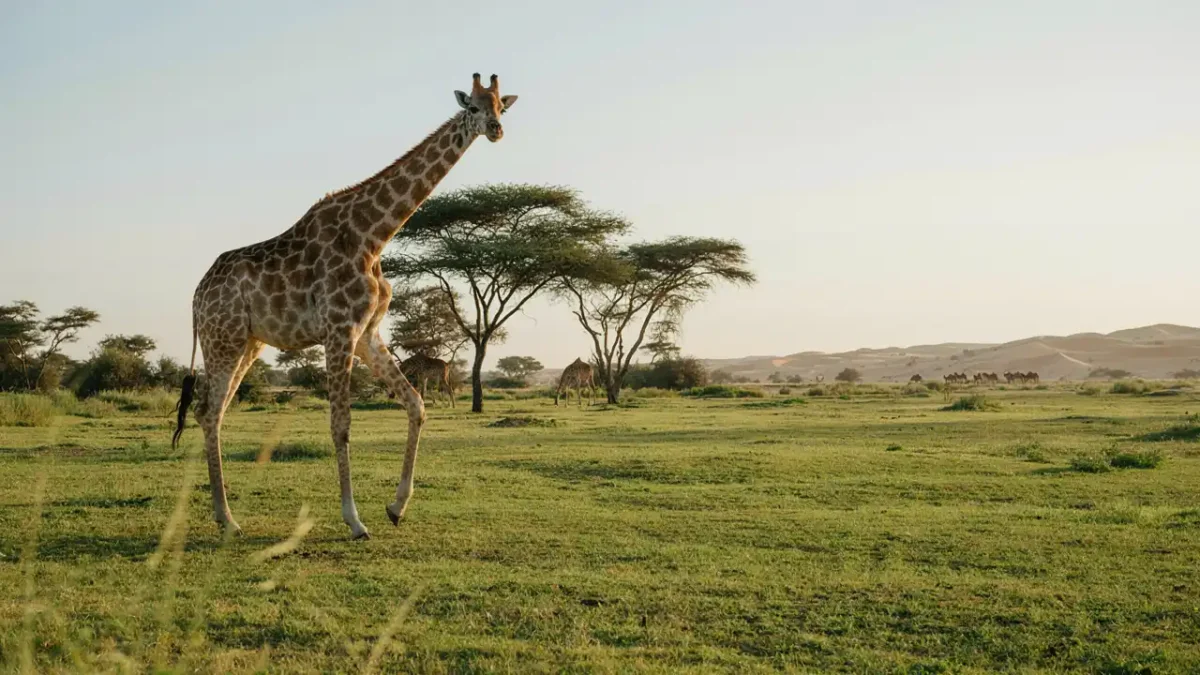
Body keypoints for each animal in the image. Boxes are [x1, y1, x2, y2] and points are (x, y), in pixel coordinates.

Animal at [172, 73, 518, 539]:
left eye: (502, 106)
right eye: (474, 109)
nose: (496, 130)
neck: (374, 235)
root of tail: (196, 295)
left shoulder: (367, 332)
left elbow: (417, 405)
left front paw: (396, 507)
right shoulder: (339, 329)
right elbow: (341, 426)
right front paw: (355, 520)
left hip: (248, 343)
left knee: (212, 412)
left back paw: (223, 515)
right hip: (221, 339)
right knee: (209, 412)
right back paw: (227, 519)